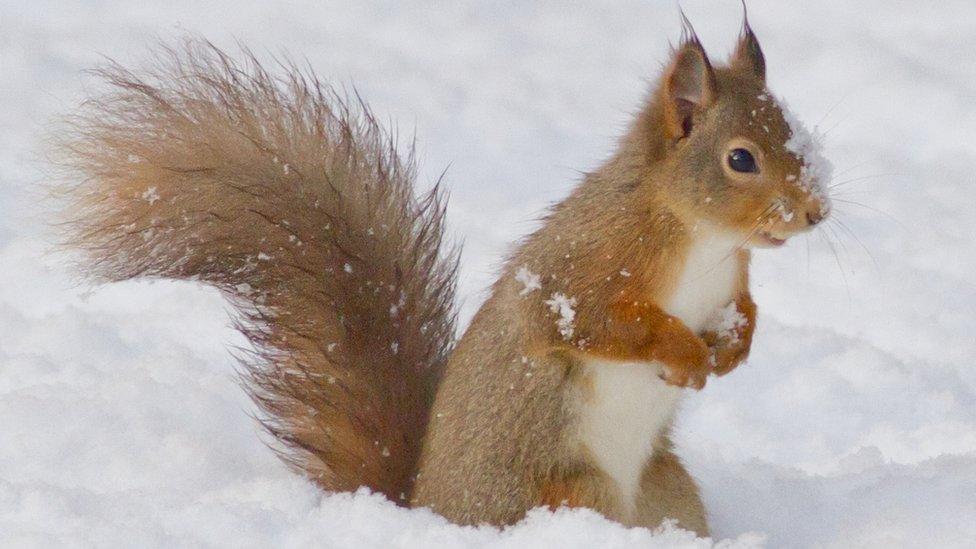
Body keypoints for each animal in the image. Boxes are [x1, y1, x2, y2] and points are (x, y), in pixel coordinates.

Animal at [55, 11, 832, 536]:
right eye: (740, 158)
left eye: (796, 131)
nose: (816, 211)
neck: (703, 238)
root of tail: (426, 510)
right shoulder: (586, 268)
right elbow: (602, 321)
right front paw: (684, 352)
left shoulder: (730, 279)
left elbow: (744, 311)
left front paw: (733, 348)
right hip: (572, 491)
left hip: (670, 492)